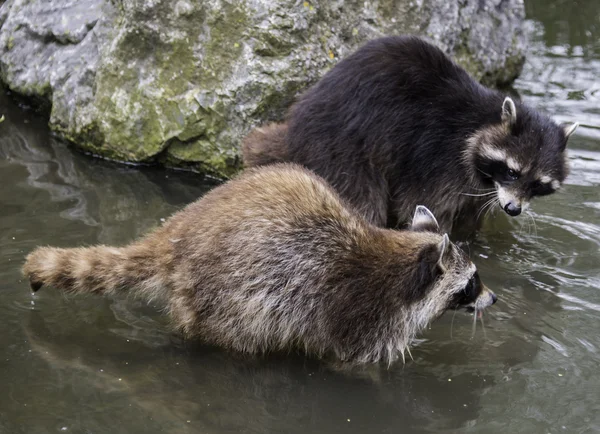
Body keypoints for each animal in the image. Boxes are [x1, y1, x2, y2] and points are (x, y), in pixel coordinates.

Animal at [22, 164, 496, 364]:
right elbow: (351, 362)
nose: (492, 298)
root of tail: (179, 232)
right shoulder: (357, 313)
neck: (401, 264)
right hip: (228, 295)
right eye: (472, 282)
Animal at [241, 36, 580, 236]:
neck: (481, 121)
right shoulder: (438, 161)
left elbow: (471, 220)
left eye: (537, 184)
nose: (513, 209)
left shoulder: (479, 191)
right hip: (344, 146)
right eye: (512, 171)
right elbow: (425, 209)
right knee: (363, 200)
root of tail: (297, 124)